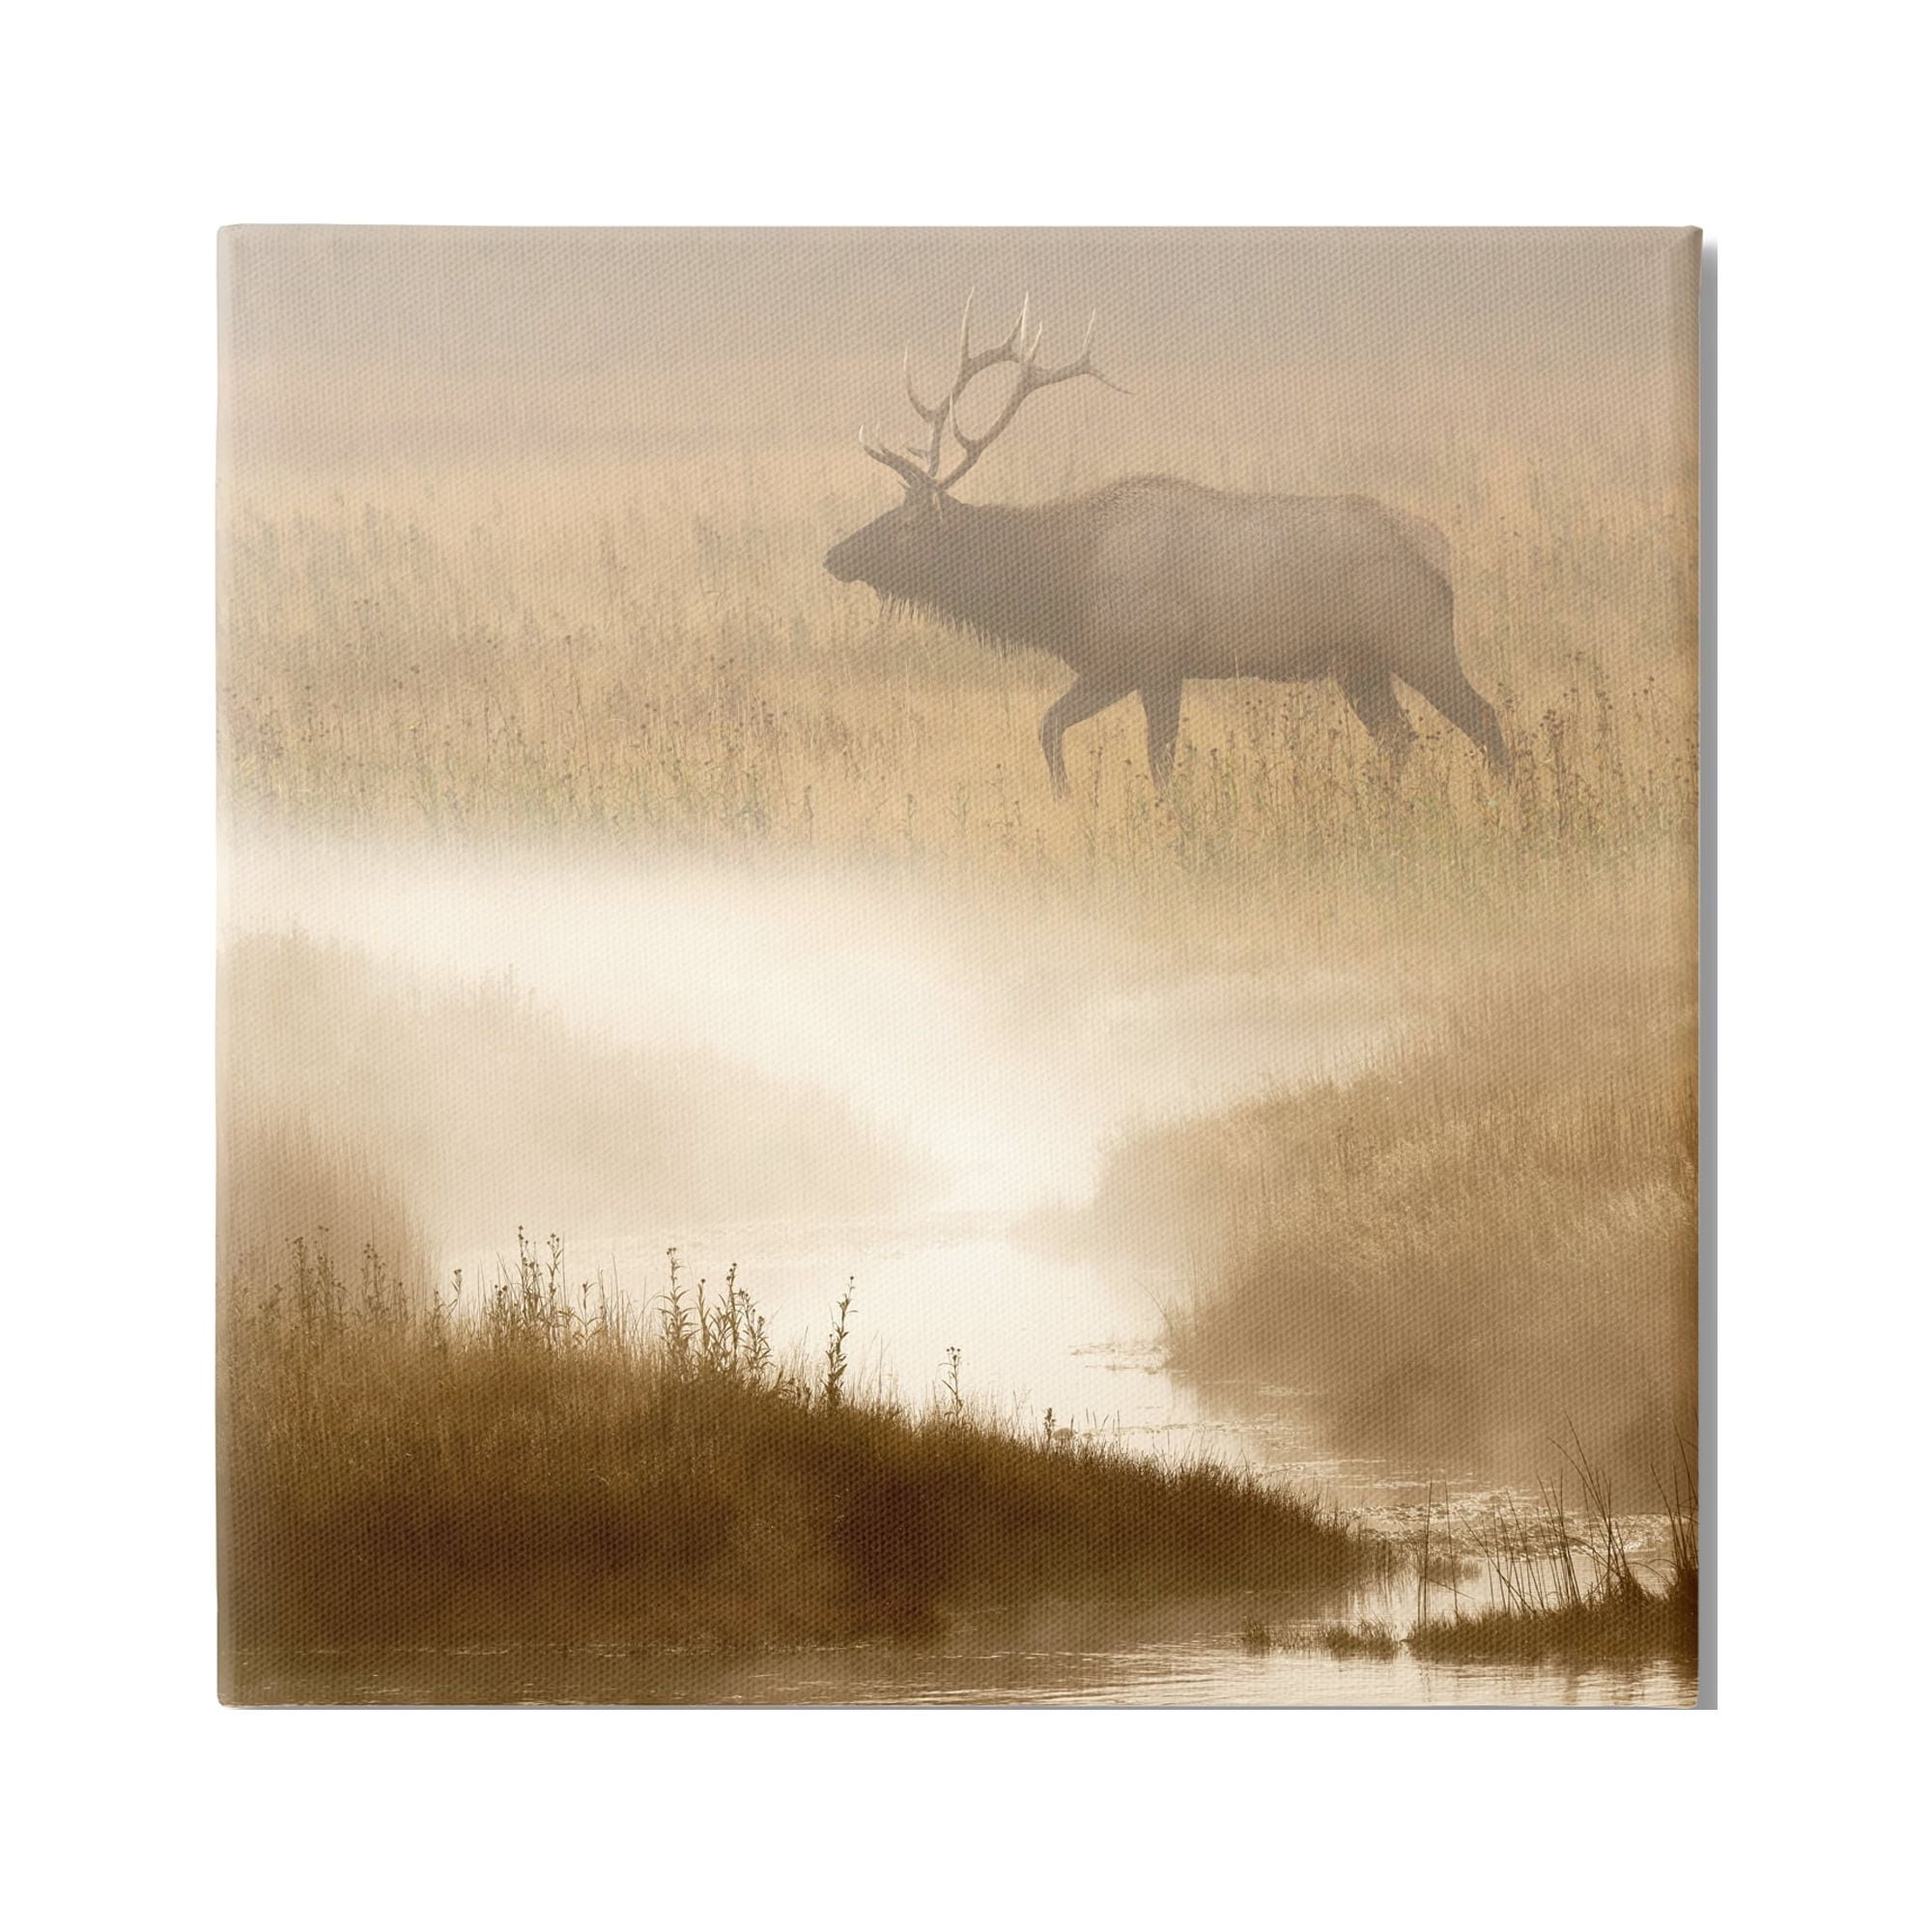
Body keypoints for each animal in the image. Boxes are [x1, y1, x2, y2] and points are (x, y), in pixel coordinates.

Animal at [822, 295, 1512, 794]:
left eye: (907, 524)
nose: (834, 555)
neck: (1061, 588)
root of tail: (1440, 550)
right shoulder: (1109, 664)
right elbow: (1048, 726)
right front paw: (1067, 799)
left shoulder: (1156, 658)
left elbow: (1159, 761)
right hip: (1359, 663)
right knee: (1400, 739)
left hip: (1416, 637)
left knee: (1485, 721)